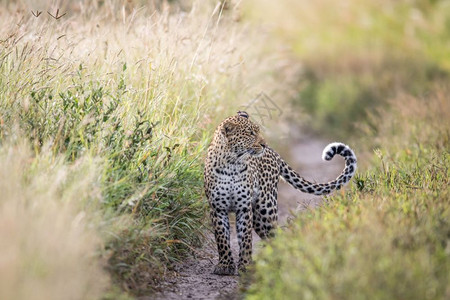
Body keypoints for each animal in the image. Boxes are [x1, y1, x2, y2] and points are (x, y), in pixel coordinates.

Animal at [205, 110, 358, 274]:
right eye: (250, 133)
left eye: (257, 131)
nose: (264, 144)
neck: (231, 164)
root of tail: (274, 153)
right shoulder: (218, 208)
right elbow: (222, 238)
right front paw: (225, 265)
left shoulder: (244, 208)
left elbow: (246, 239)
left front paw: (245, 265)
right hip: (258, 216)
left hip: (266, 209)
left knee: (276, 235)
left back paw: (276, 263)